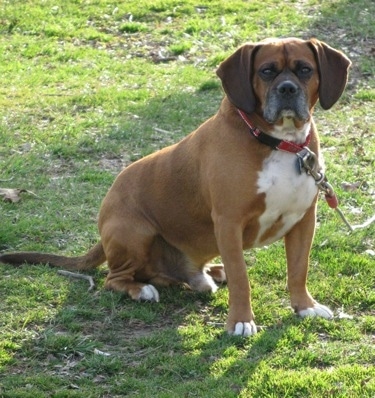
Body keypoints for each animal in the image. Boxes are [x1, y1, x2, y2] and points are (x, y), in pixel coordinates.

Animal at [0, 38, 352, 336]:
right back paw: (141, 290)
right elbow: (243, 279)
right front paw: (240, 321)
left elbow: (298, 270)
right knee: (115, 278)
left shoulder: (304, 221)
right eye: (266, 71)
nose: (288, 88)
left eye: (305, 69)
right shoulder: (229, 222)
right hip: (135, 232)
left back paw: (209, 273)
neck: (280, 143)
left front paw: (304, 307)